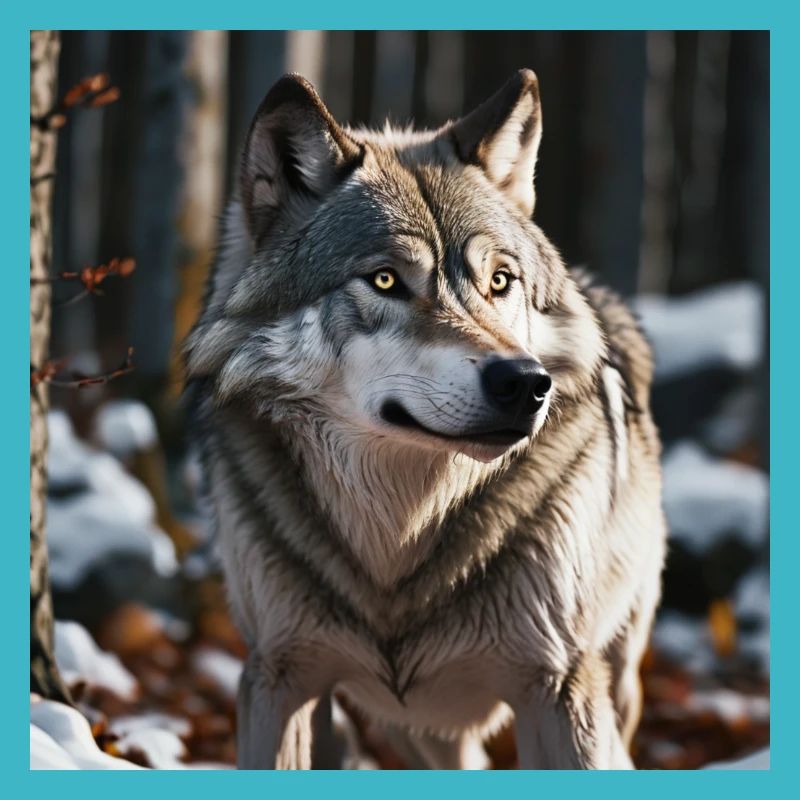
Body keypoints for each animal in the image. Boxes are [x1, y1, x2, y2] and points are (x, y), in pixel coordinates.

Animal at [185, 69, 667, 770]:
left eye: (500, 281)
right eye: (386, 280)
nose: (526, 383)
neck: (400, 539)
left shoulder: (559, 687)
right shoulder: (280, 676)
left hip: (615, 679)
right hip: (417, 732)